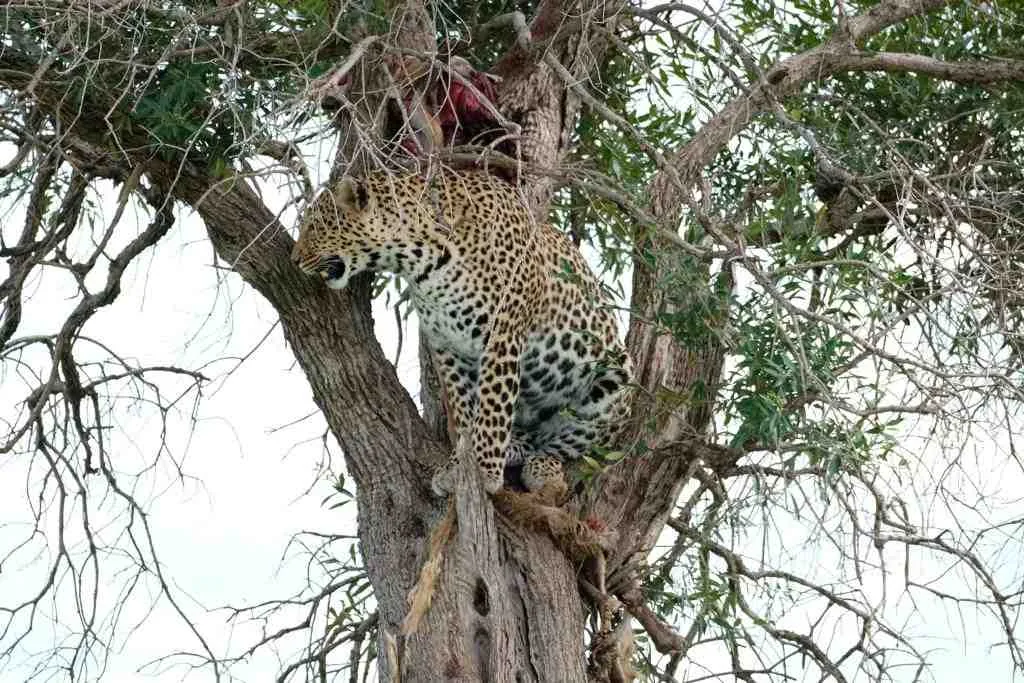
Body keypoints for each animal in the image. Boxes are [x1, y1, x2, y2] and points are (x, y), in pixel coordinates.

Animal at [291, 169, 632, 495]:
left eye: (314, 227)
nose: (295, 259)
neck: (419, 260)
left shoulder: (502, 333)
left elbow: (493, 408)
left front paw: (484, 470)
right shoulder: (447, 344)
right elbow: (465, 412)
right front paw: (458, 466)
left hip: (615, 383)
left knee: (565, 444)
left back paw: (541, 468)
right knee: (531, 437)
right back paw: (514, 446)